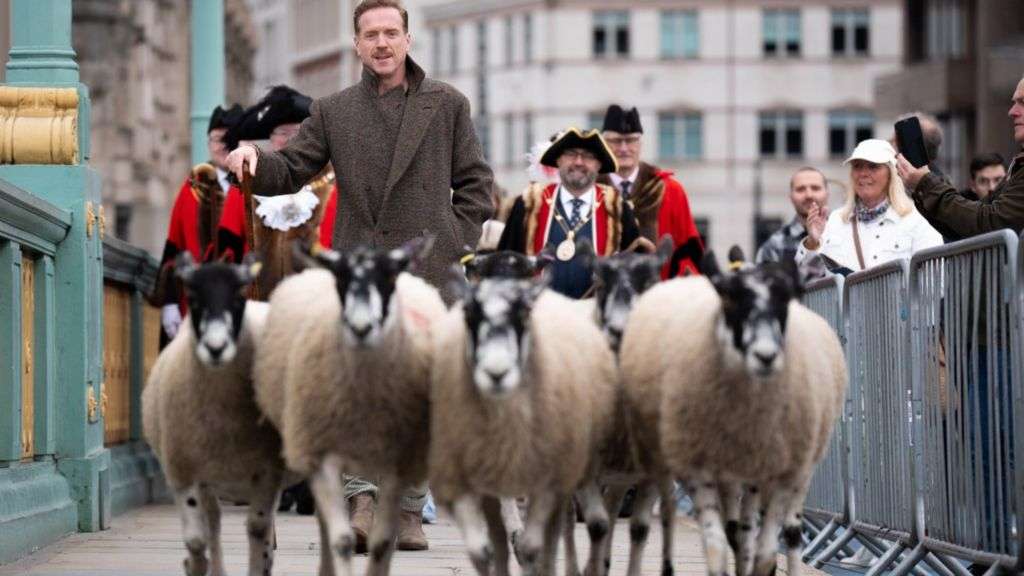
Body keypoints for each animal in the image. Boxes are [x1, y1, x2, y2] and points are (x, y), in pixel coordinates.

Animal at [141, 252, 284, 576]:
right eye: (192, 296)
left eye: (239, 295)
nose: (215, 347)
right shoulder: (185, 470)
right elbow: (197, 539)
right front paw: (195, 564)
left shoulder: (266, 471)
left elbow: (258, 528)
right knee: (214, 523)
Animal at [614, 252, 847, 576]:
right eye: (730, 301)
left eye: (784, 301)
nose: (765, 356)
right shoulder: (702, 467)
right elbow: (721, 539)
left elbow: (763, 543)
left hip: (798, 467)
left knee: (788, 530)